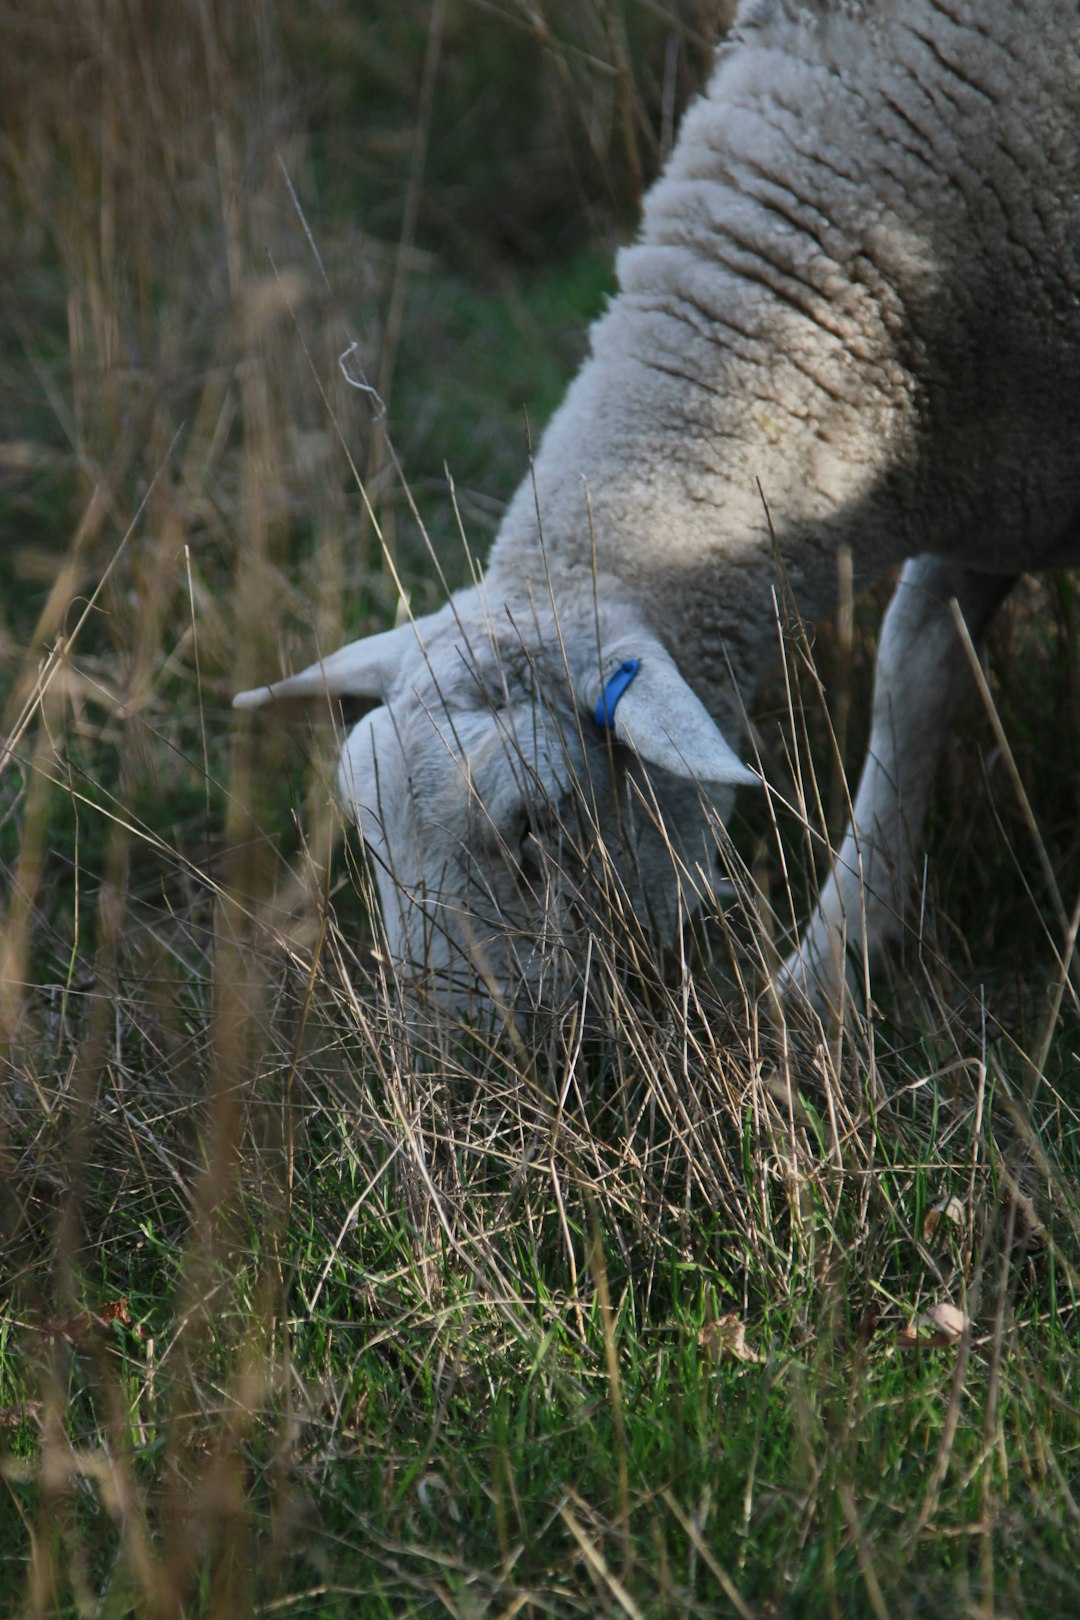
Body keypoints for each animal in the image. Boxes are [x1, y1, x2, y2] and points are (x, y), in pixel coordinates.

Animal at [234, 0, 1080, 1010]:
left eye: (539, 823)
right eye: (365, 826)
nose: (455, 1052)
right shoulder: (997, 485)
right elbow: (913, 673)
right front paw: (836, 961)